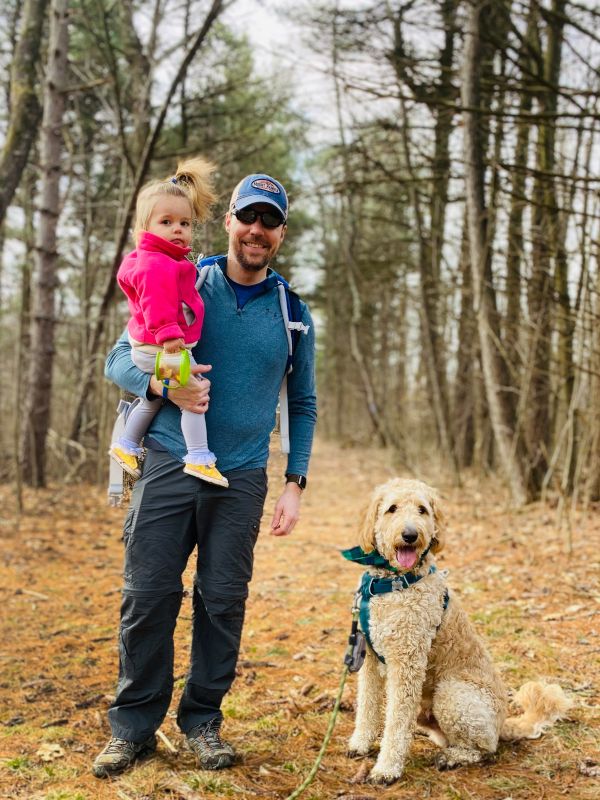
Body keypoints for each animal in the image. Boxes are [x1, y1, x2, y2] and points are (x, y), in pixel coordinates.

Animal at [346, 478, 572, 784]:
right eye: (392, 508)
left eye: (422, 510)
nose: (410, 535)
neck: (392, 582)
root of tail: (502, 723)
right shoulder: (369, 658)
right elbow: (367, 706)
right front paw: (360, 743)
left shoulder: (407, 663)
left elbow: (396, 721)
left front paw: (387, 768)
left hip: (453, 693)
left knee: (484, 748)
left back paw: (454, 757)